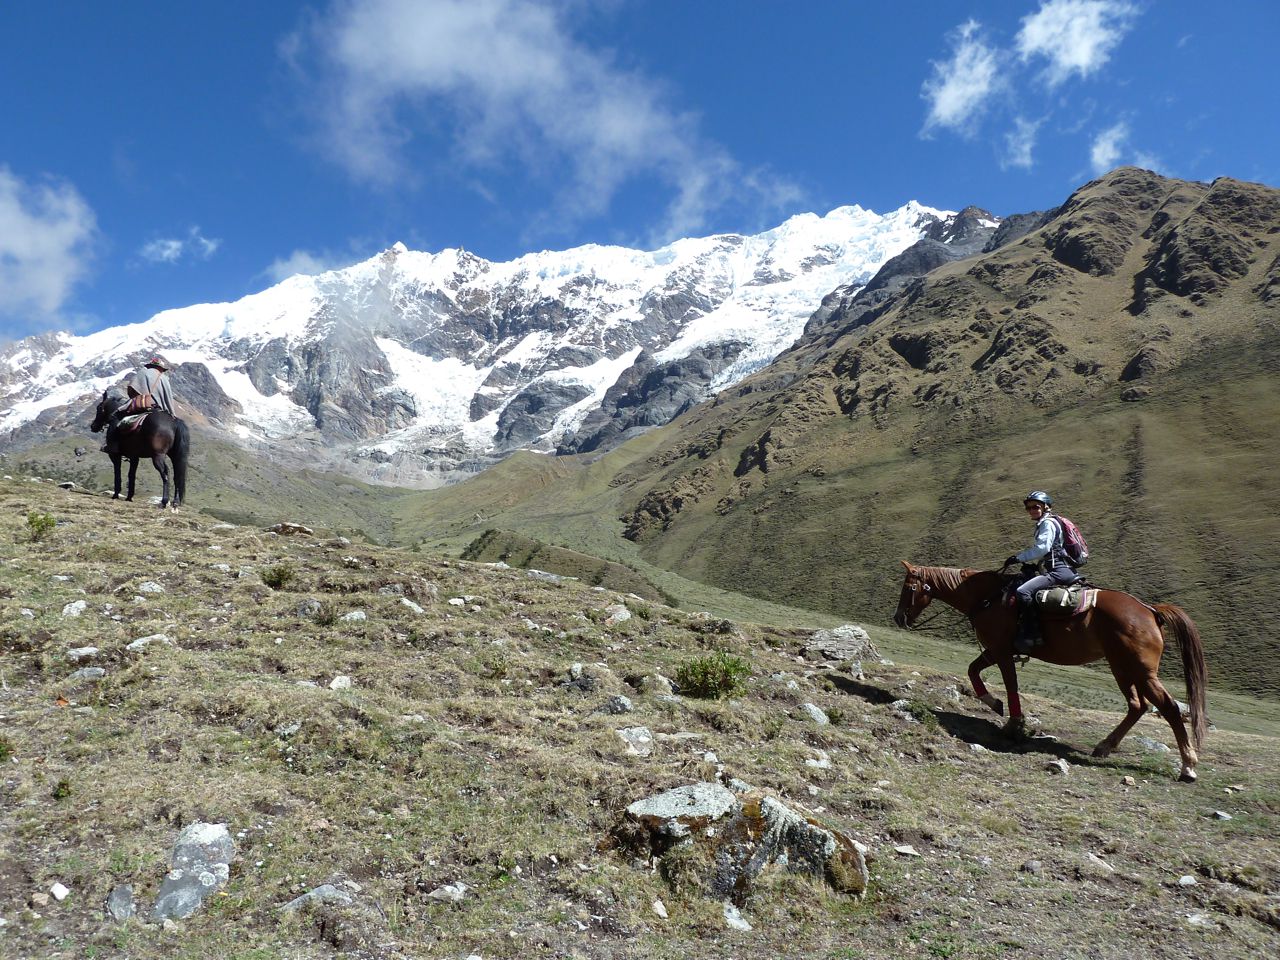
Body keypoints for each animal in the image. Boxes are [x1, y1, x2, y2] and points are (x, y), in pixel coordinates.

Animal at [896, 563, 1203, 783]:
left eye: (908, 588)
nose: (898, 618)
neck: (987, 597)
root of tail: (1150, 611)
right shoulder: (994, 651)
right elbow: (973, 671)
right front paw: (994, 704)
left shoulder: (1002, 652)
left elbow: (1010, 684)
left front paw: (1013, 724)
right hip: (1123, 667)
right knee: (1138, 705)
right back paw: (1104, 747)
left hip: (1139, 671)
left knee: (1167, 707)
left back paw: (1188, 766)